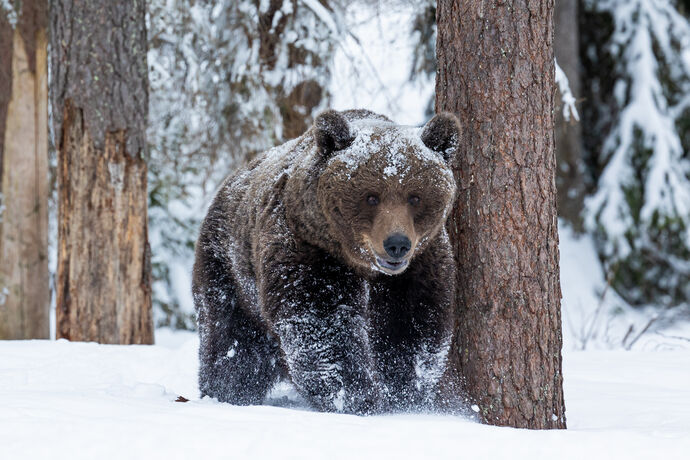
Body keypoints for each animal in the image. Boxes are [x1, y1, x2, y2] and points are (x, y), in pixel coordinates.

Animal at [192, 109, 460, 415]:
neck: (362, 265)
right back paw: (227, 390)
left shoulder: (418, 265)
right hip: (229, 269)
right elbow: (323, 324)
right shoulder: (308, 249)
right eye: (371, 197)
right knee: (233, 340)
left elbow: (411, 323)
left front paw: (402, 389)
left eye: (415, 196)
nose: (397, 244)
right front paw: (356, 394)